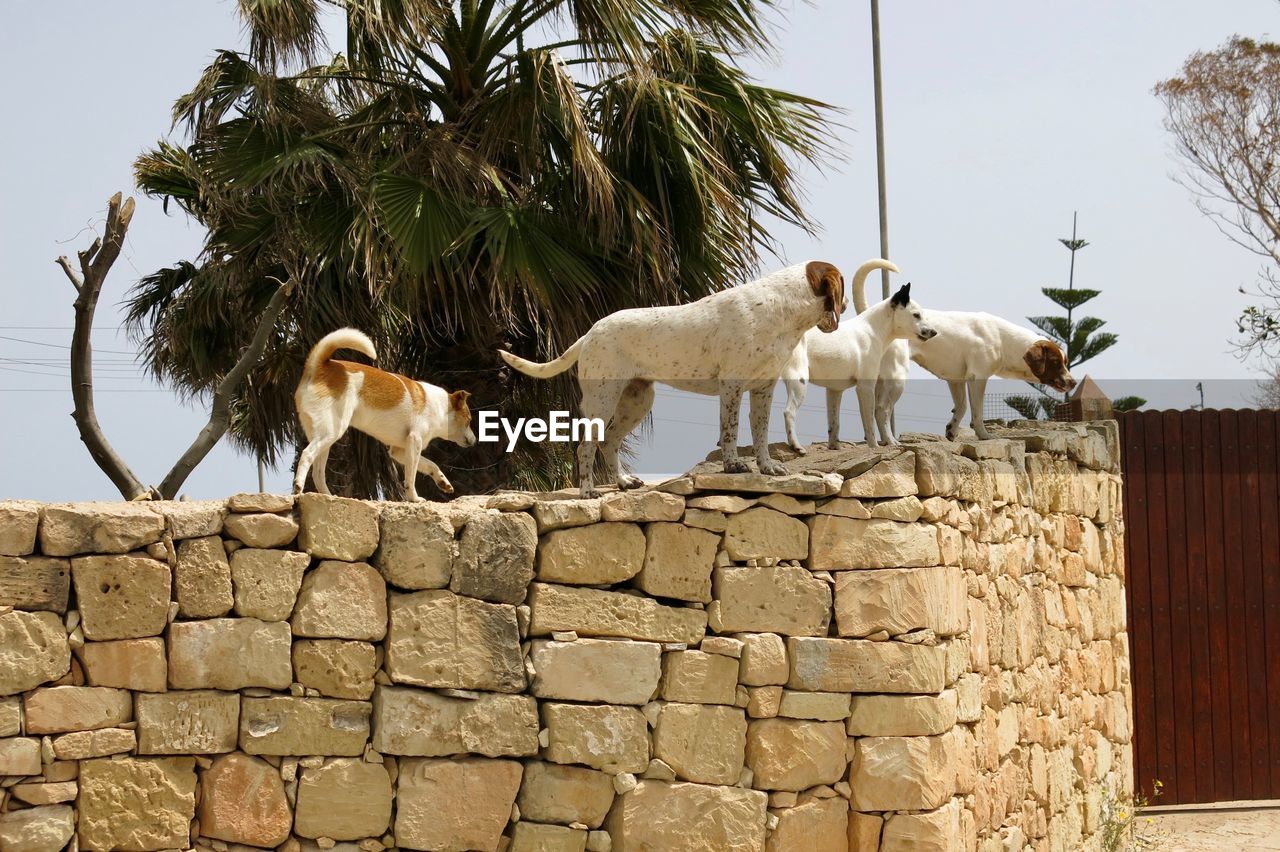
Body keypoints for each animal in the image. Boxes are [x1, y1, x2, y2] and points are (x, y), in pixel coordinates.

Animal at [293, 324, 478, 498]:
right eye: (469, 420)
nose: (475, 441)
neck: (441, 406)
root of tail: (318, 366)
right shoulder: (415, 441)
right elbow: (411, 478)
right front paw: (414, 498)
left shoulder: (399, 450)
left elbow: (431, 464)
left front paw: (442, 481)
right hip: (332, 431)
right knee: (307, 454)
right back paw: (298, 486)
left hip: (325, 437)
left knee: (318, 473)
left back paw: (328, 496)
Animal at [499, 258, 849, 498]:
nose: (845, 304)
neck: (782, 309)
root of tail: (590, 332)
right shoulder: (732, 386)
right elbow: (731, 431)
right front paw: (733, 466)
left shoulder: (763, 389)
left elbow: (760, 433)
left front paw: (767, 467)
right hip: (603, 399)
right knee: (586, 447)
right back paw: (587, 492)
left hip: (637, 400)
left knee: (609, 441)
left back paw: (623, 481)